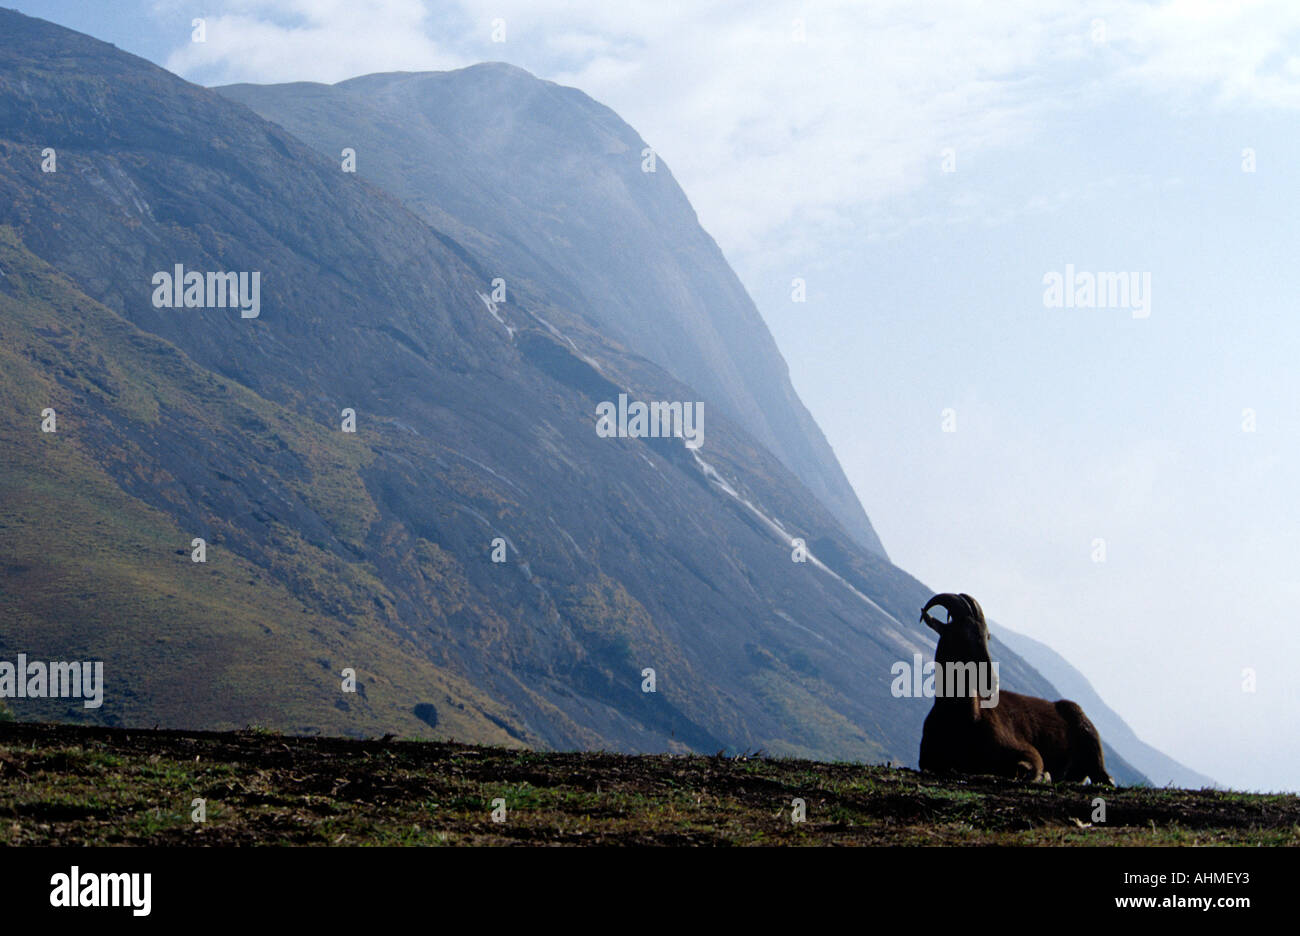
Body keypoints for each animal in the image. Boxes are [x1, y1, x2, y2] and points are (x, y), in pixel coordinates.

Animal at [915, 592, 1118, 780]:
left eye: (986, 636)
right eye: (960, 636)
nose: (991, 680)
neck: (962, 718)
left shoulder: (1026, 750)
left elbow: (1028, 766)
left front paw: (1044, 775)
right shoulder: (928, 760)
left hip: (1088, 737)